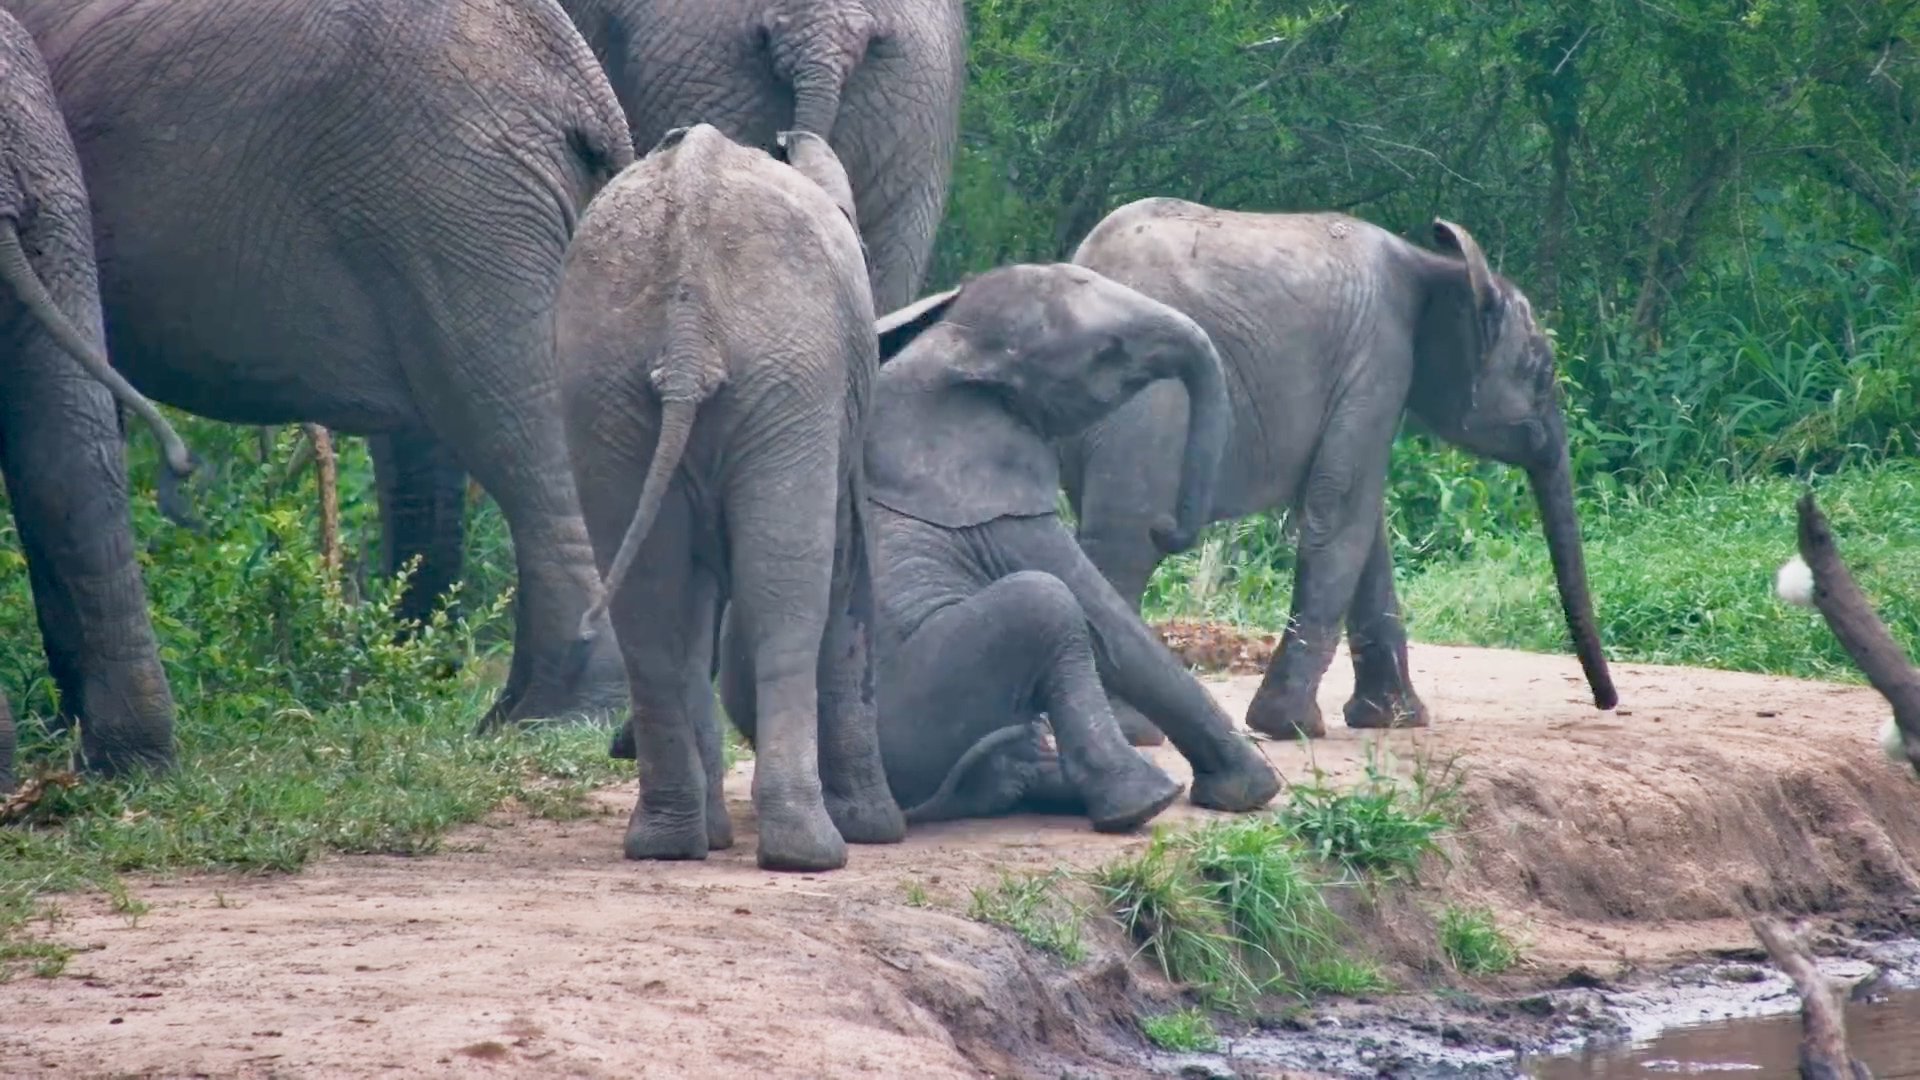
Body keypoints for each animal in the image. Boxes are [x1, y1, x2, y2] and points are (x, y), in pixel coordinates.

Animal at [560, 123, 901, 872]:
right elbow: (848, 577)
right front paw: (880, 831)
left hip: (607, 385)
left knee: (651, 606)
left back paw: (667, 842)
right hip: (790, 379)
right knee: (788, 596)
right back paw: (811, 854)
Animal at [733, 263, 1283, 829]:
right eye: (1107, 354)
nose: (1166, 528)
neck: (949, 345)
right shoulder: (997, 509)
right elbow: (1104, 619)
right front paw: (1250, 792)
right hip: (914, 710)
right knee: (1046, 603)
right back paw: (1143, 802)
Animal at [1061, 197, 1617, 742]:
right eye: (1542, 374)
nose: (1607, 703)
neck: (1438, 266)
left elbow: (1363, 529)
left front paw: (1393, 719)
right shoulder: (1378, 362)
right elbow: (1342, 511)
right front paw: (1290, 725)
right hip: (1152, 409)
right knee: (1128, 543)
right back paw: (1135, 731)